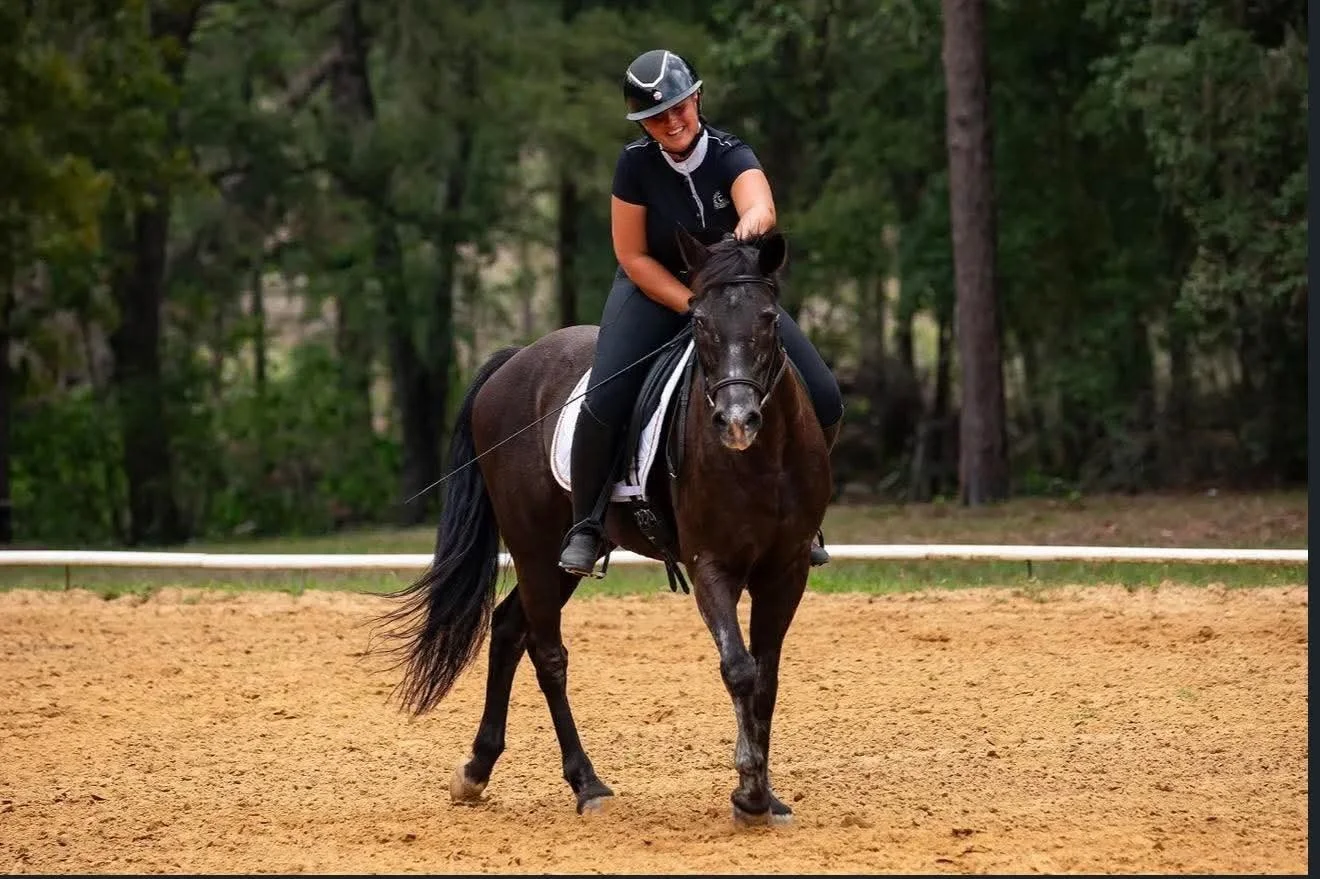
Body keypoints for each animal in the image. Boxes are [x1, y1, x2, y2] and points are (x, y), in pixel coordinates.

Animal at [371, 228, 836, 823]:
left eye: (770, 318)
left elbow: (766, 679)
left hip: (558, 559)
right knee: (547, 654)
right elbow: (739, 668)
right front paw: (749, 792)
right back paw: (585, 783)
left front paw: (768, 796)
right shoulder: (710, 565)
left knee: (509, 628)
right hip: (534, 547)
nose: (736, 422)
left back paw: (477, 769)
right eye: (699, 321)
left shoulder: (787, 567)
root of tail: (515, 361)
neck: (763, 459)